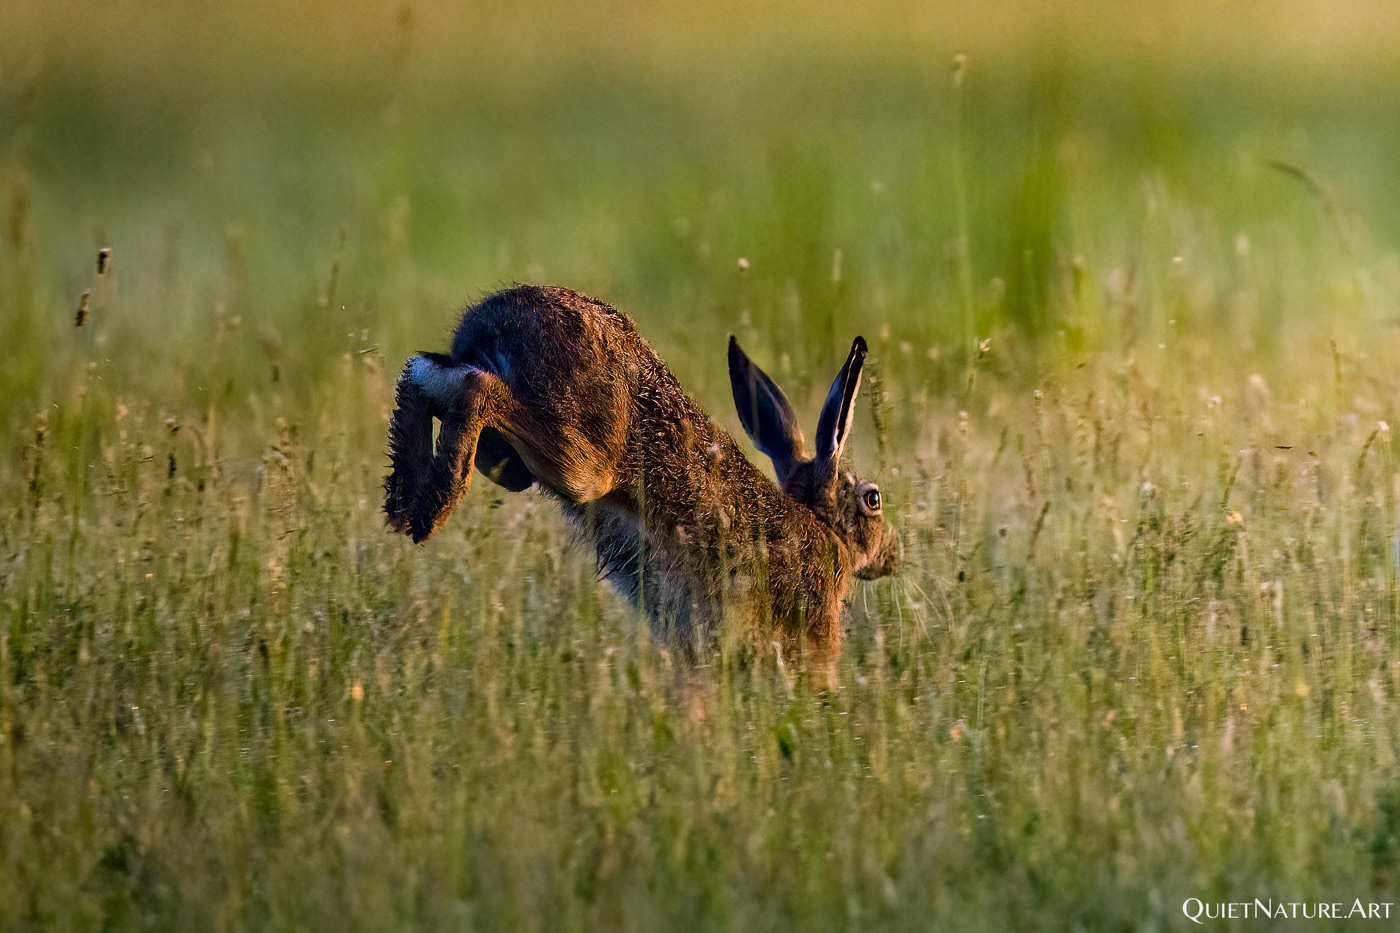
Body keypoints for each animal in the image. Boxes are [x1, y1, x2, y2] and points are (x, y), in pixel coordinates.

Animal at [384, 285, 897, 664]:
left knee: (424, 371)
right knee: (476, 387)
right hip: (580, 461)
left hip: (505, 459)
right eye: (873, 499)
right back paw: (433, 503)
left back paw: (406, 503)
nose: (893, 556)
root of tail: (494, 316)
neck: (825, 530)